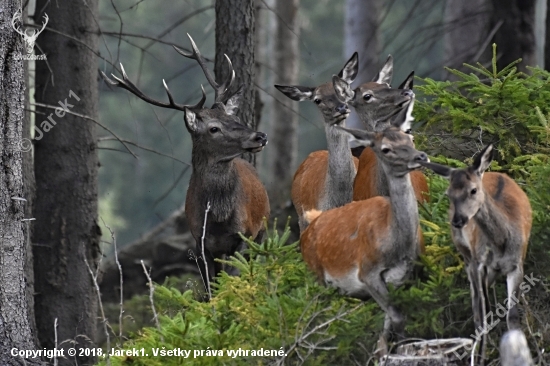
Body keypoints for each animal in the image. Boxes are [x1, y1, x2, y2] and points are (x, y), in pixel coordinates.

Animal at [102, 34, 270, 286]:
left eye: (235, 119)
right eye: (214, 128)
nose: (260, 136)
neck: (218, 219)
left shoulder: (244, 234)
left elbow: (233, 280)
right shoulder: (199, 241)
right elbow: (212, 286)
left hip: (263, 229)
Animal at [302, 98, 426, 354]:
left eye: (409, 138)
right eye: (385, 149)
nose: (420, 157)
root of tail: (312, 220)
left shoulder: (404, 277)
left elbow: (394, 320)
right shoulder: (367, 272)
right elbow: (397, 318)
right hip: (316, 273)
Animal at [422, 145, 536, 364]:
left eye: (473, 190)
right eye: (449, 194)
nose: (457, 221)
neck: (501, 243)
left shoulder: (517, 265)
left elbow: (512, 315)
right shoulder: (479, 263)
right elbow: (484, 312)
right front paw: (482, 356)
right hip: (467, 254)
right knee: (477, 304)